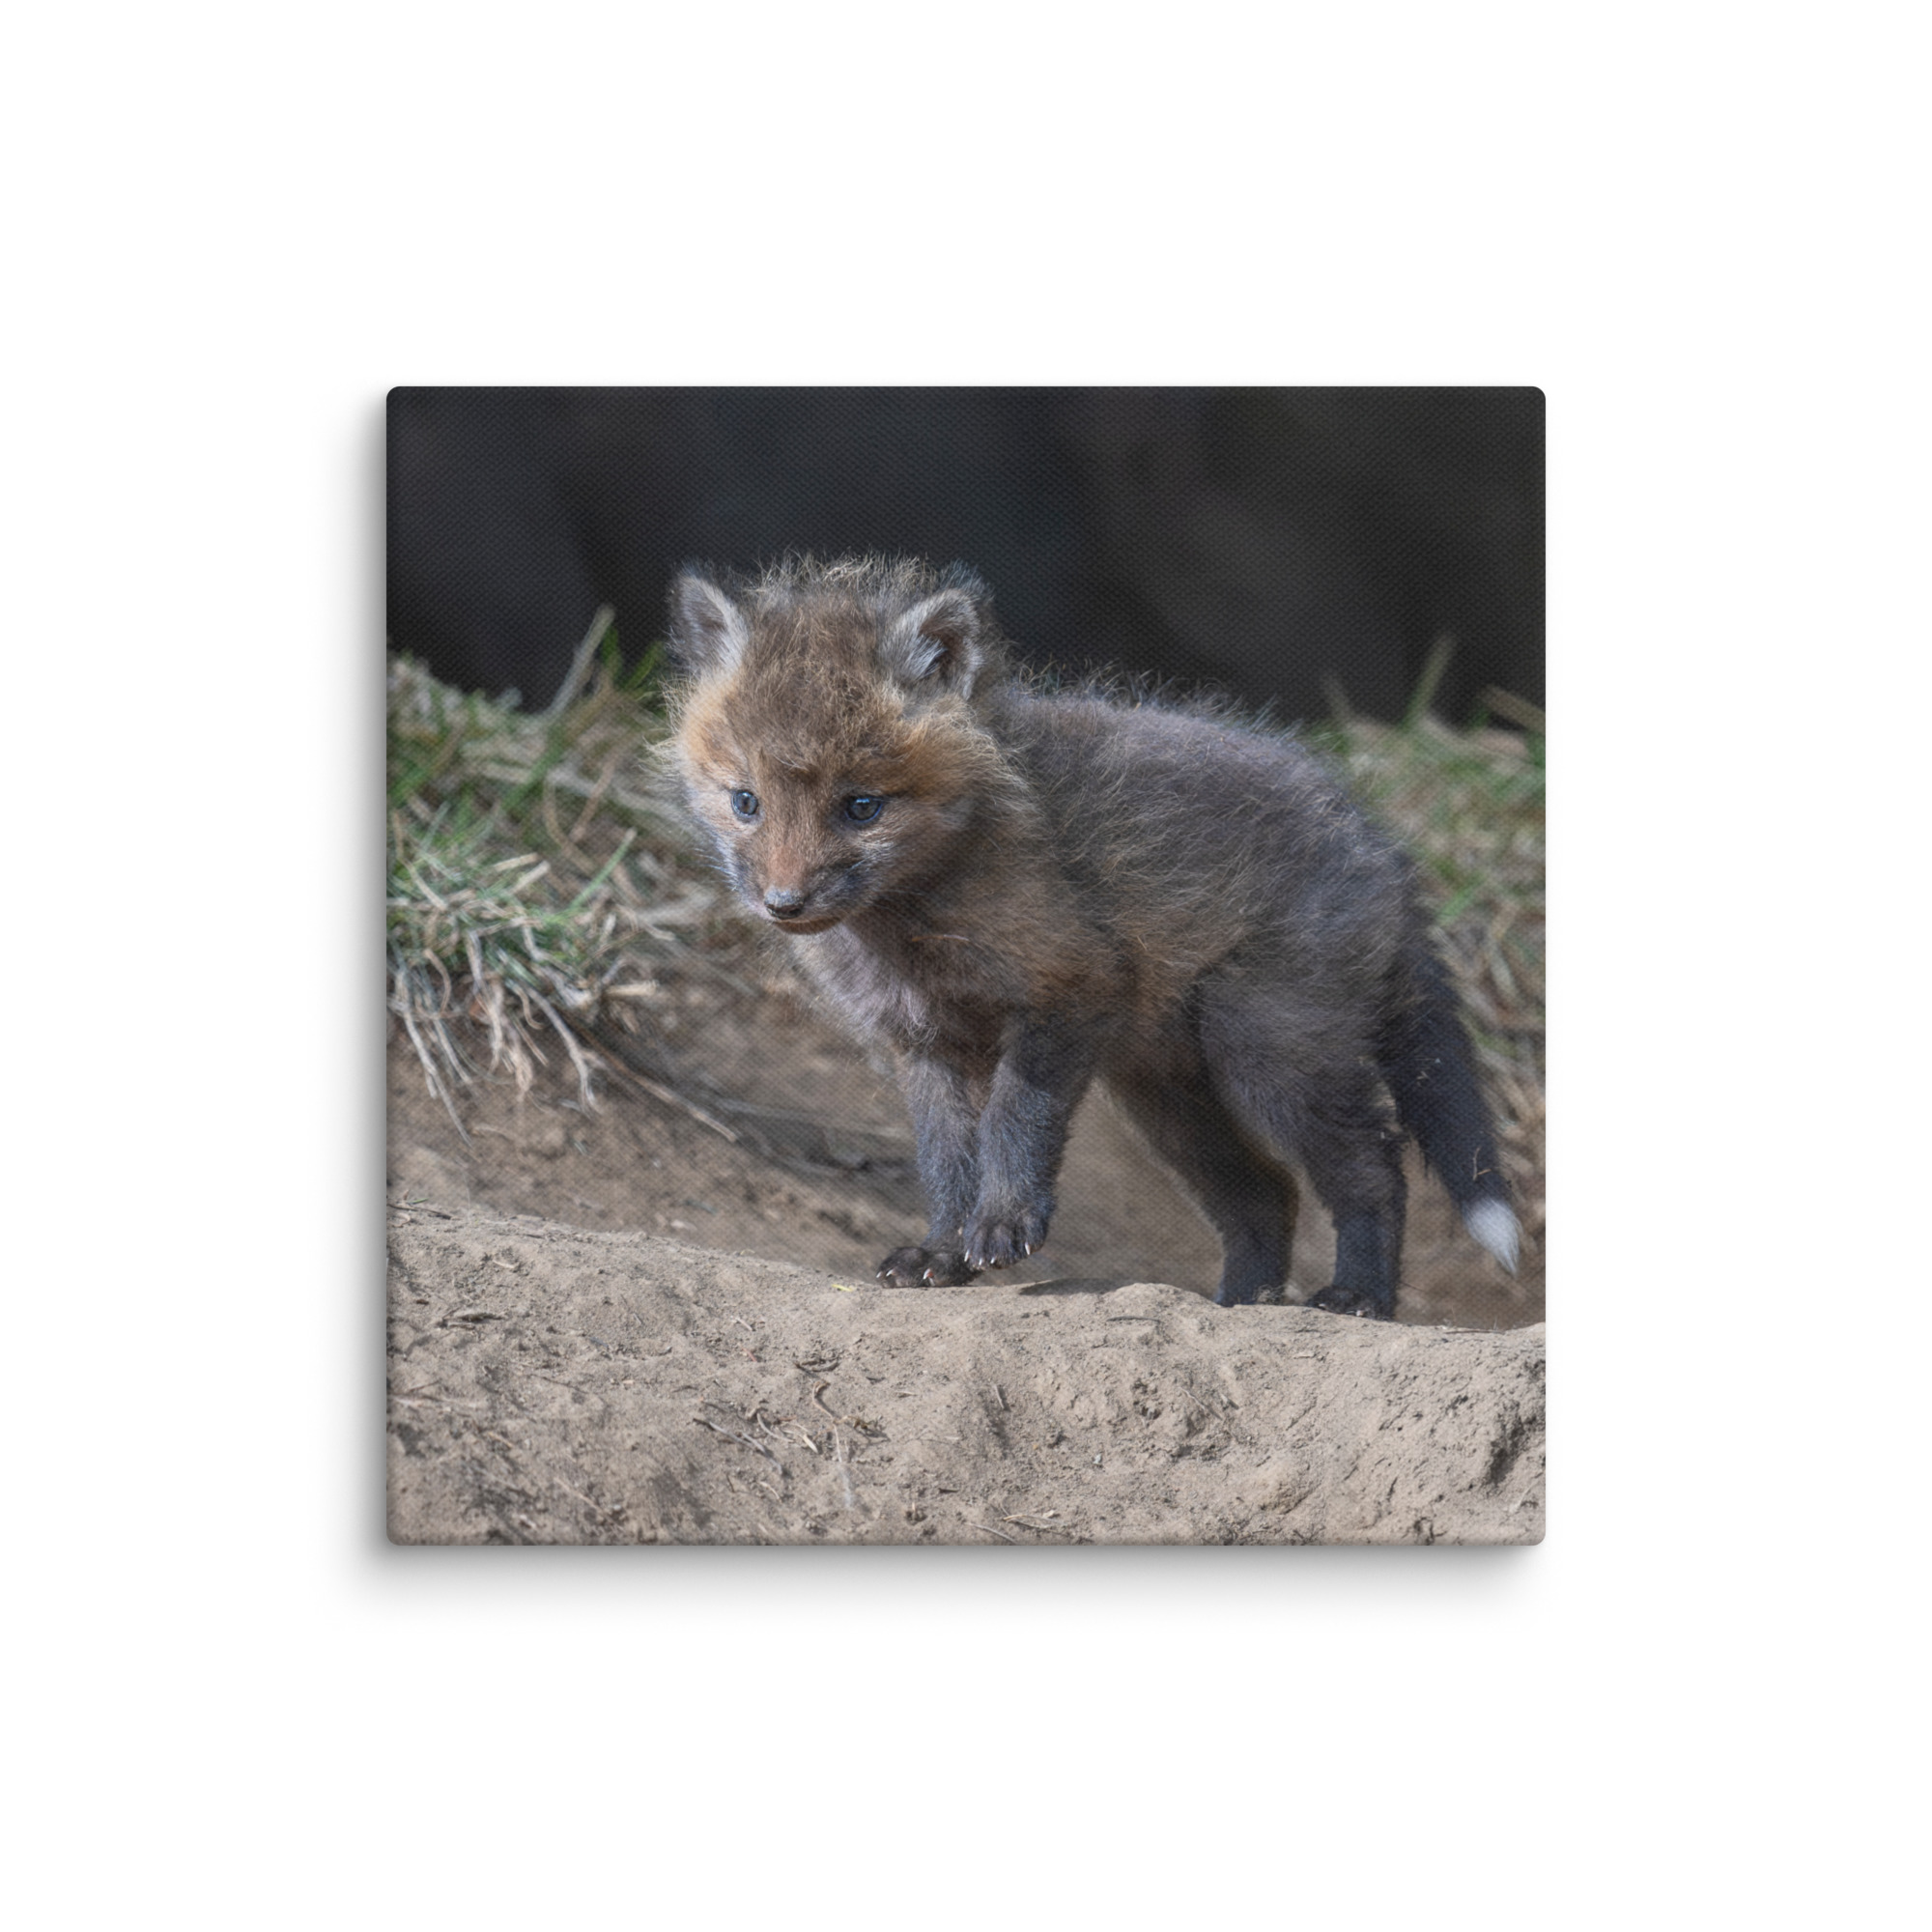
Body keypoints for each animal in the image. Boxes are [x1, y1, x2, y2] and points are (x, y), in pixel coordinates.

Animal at [665, 555, 1519, 1319]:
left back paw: (1358, 1296)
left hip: (1268, 1052)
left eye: (861, 806)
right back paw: (1240, 1303)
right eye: (745, 802)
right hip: (1168, 1095)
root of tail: (1381, 846)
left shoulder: (1069, 987)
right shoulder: (924, 1042)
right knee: (1266, 1194)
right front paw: (942, 1252)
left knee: (1374, 1167)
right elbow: (946, 1161)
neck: (912, 930)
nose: (784, 903)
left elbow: (1014, 1121)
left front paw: (1003, 1224)